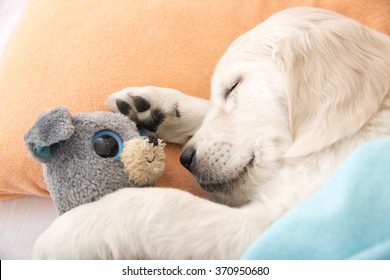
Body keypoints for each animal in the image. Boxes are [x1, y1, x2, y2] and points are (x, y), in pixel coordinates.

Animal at [32, 6, 390, 260]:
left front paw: (65, 232)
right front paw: (157, 108)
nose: (187, 159)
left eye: (235, 86)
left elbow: (164, 205)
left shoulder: (287, 229)